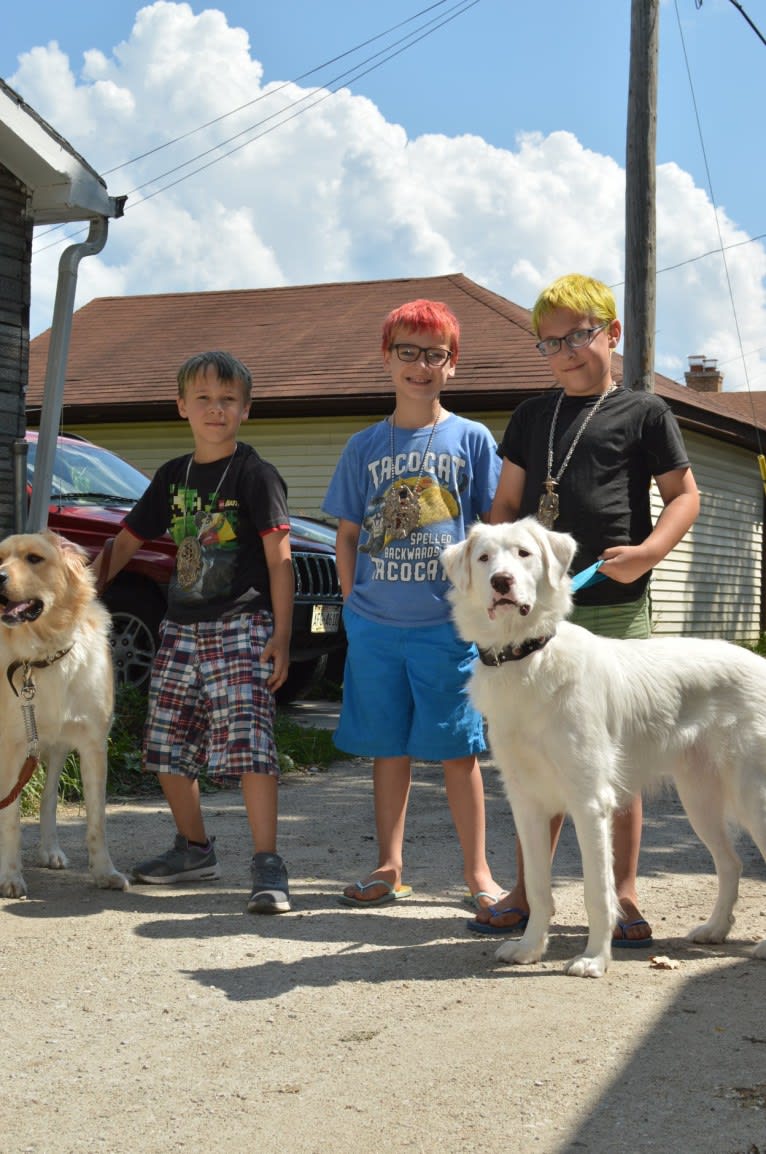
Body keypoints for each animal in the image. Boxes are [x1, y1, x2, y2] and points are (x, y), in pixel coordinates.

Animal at [0, 530, 128, 900]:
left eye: (34, 559)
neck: (42, 657)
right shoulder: (11, 748)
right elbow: (10, 819)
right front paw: (10, 876)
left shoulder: (92, 745)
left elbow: (97, 819)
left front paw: (104, 873)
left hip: (55, 748)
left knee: (48, 799)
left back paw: (50, 850)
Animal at [440, 519, 765, 978]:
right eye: (484, 558)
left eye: (523, 553)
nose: (501, 582)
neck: (528, 657)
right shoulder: (527, 803)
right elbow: (537, 886)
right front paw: (529, 949)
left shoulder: (590, 801)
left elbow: (597, 891)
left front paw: (594, 958)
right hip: (700, 800)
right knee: (731, 863)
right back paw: (715, 929)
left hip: (752, 796)